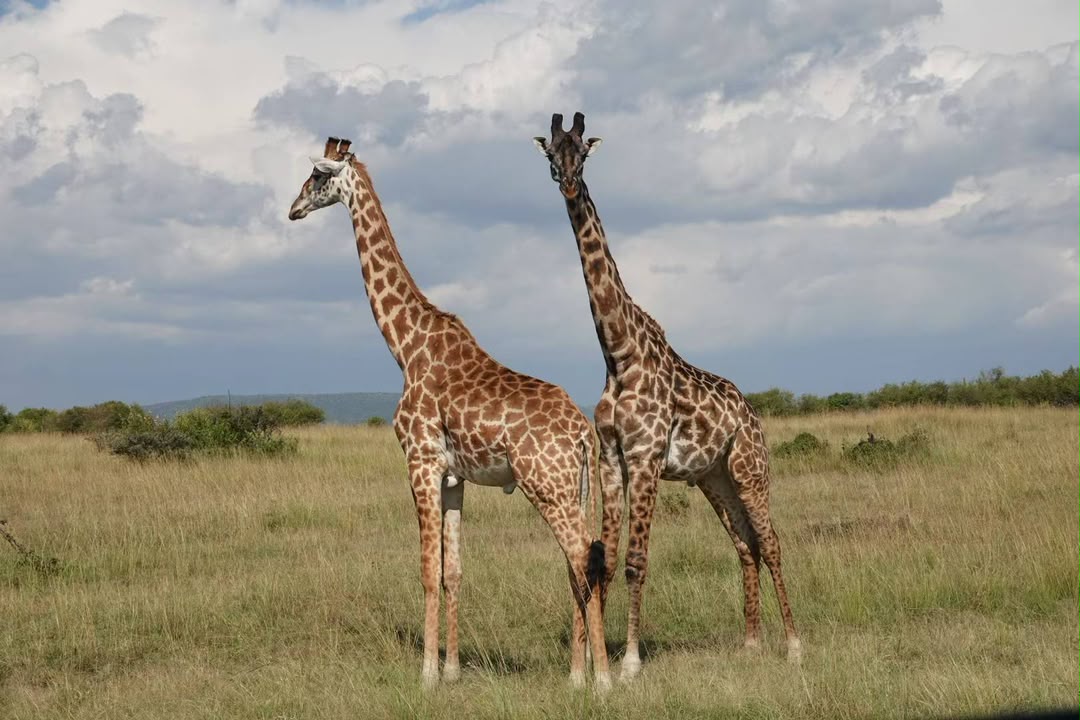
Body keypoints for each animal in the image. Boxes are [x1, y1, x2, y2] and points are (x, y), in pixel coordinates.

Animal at [288, 137, 611, 691]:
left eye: (317, 175)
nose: (292, 209)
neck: (405, 346)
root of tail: (583, 434)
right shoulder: (455, 476)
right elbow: (454, 570)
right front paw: (454, 670)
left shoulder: (420, 461)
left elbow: (426, 570)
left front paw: (426, 675)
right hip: (575, 487)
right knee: (579, 560)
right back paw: (577, 674)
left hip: (545, 484)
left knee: (582, 559)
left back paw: (603, 680)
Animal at [533, 113, 800, 680]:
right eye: (550, 154)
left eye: (582, 152)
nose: (568, 185)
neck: (618, 353)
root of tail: (752, 412)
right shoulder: (612, 460)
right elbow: (605, 561)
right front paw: (594, 664)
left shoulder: (646, 457)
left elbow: (636, 562)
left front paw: (630, 663)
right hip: (714, 478)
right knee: (744, 544)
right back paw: (750, 643)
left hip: (750, 468)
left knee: (771, 543)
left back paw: (792, 644)